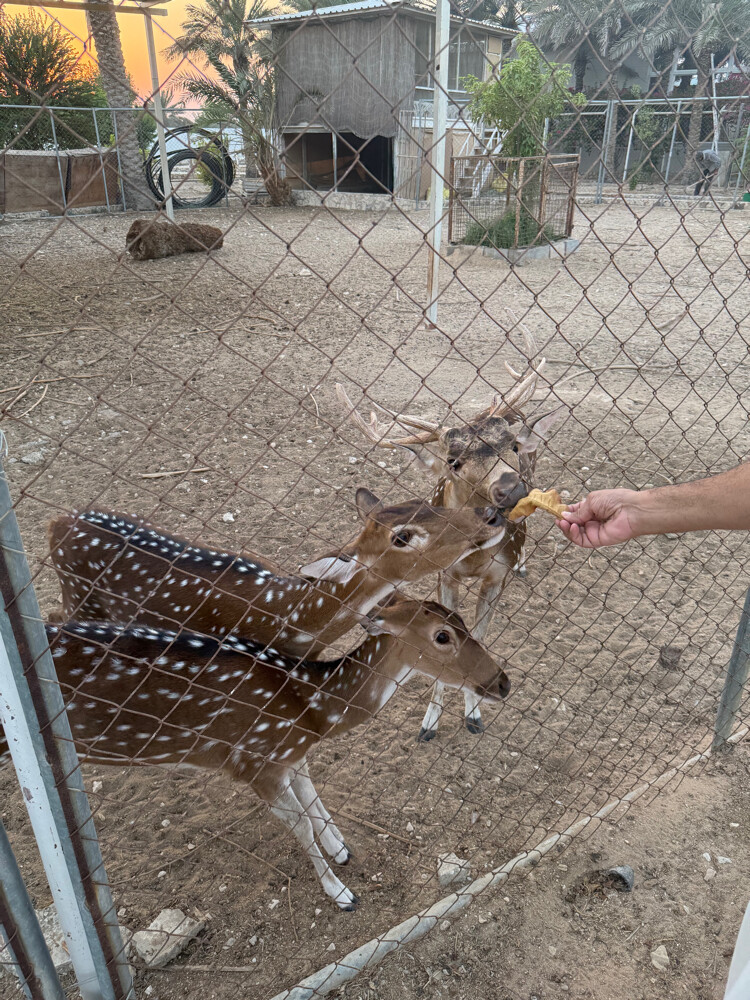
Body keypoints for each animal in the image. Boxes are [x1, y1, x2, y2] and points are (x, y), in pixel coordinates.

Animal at [8, 603, 510, 909]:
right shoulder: (252, 762)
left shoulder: (288, 752)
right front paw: (342, 893)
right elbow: (300, 822)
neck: (310, 708)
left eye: (463, 620)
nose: (503, 682)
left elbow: (311, 794)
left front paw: (342, 849)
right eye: (442, 636)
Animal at [47, 490, 506, 660]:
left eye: (423, 501)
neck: (296, 622)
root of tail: (56, 521)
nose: (492, 514)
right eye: (403, 536)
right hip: (81, 596)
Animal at [336, 334, 565, 741]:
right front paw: (430, 722)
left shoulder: (496, 577)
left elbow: (481, 636)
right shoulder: (443, 574)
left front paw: (474, 714)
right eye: (452, 461)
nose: (511, 487)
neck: (474, 559)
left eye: (511, 446)